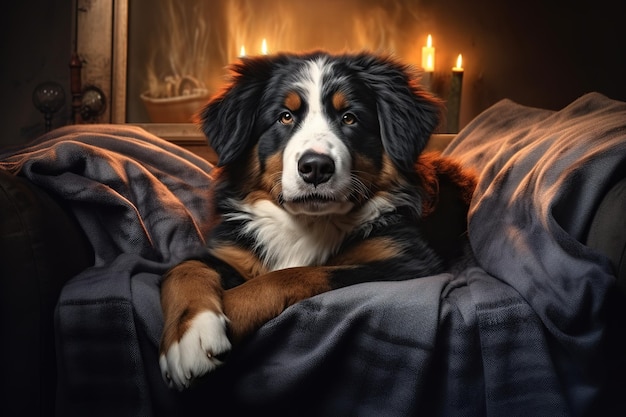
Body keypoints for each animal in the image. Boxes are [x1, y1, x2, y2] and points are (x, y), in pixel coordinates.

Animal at [158, 50, 476, 388]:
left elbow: (293, 274)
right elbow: (183, 268)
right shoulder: (230, 251)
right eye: (285, 116)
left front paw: (226, 310)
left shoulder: (406, 263)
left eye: (349, 118)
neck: (307, 224)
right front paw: (188, 334)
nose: (315, 167)